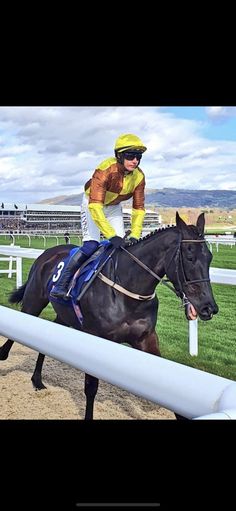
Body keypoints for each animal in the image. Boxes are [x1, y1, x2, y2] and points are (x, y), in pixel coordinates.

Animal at [0, 213, 218, 420]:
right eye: (189, 257)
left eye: (209, 257)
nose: (209, 307)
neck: (128, 292)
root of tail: (47, 254)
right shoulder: (95, 337)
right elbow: (90, 388)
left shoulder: (146, 339)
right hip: (34, 301)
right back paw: (6, 357)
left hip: (65, 316)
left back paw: (37, 380)